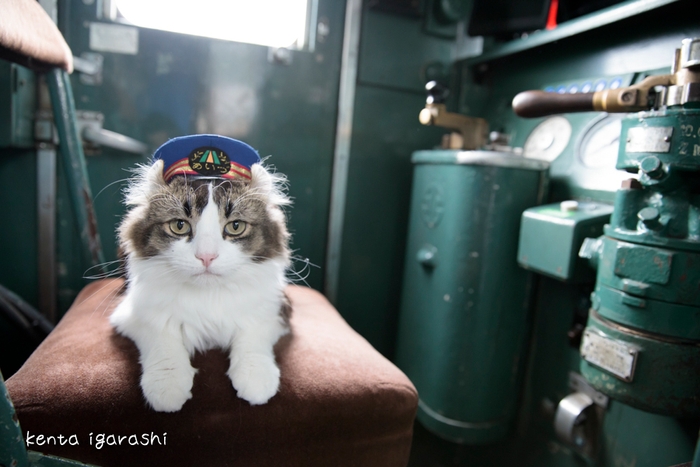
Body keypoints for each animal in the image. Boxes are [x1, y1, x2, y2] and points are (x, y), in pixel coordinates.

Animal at [110, 135, 292, 414]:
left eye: (235, 226)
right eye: (179, 225)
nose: (206, 256)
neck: (208, 294)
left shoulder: (275, 309)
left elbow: (253, 334)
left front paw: (256, 380)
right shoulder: (133, 312)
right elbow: (163, 339)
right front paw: (168, 387)